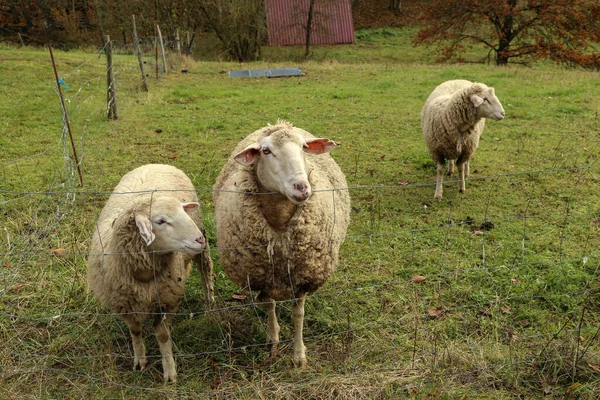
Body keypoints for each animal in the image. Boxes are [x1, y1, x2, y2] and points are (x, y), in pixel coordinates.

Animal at [86, 163, 213, 384]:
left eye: (182, 211)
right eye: (160, 221)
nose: (199, 239)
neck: (143, 275)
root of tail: (155, 163)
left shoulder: (167, 300)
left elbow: (162, 336)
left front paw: (169, 371)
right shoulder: (124, 305)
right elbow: (135, 331)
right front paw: (140, 360)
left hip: (200, 247)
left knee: (205, 271)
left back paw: (209, 303)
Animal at [213, 120, 352, 368]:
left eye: (303, 147)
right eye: (266, 151)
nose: (302, 187)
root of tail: (278, 123)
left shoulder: (304, 276)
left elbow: (298, 315)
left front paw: (299, 356)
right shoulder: (263, 276)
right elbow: (270, 307)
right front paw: (273, 343)